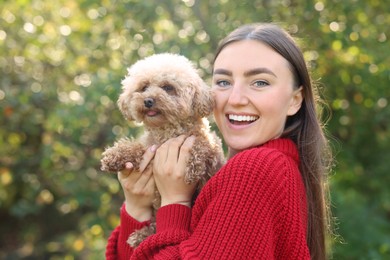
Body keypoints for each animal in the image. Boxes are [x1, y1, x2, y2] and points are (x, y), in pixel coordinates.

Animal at [100, 52, 224, 248]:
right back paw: (140, 236)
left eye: (168, 87)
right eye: (144, 87)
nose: (148, 101)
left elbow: (201, 145)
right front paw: (115, 155)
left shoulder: (209, 150)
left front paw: (191, 166)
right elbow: (136, 147)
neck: (166, 132)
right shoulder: (150, 147)